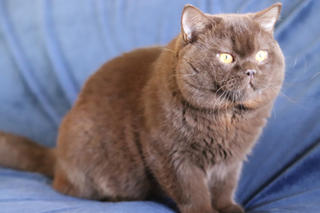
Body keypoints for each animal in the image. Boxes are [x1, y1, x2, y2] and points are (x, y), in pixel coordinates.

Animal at [0, 2, 284, 213]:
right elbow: (192, 189)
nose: (251, 70)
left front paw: (228, 208)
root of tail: (57, 155)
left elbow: (225, 186)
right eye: (226, 57)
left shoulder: (232, 159)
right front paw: (205, 210)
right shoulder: (169, 153)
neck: (226, 119)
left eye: (261, 55)